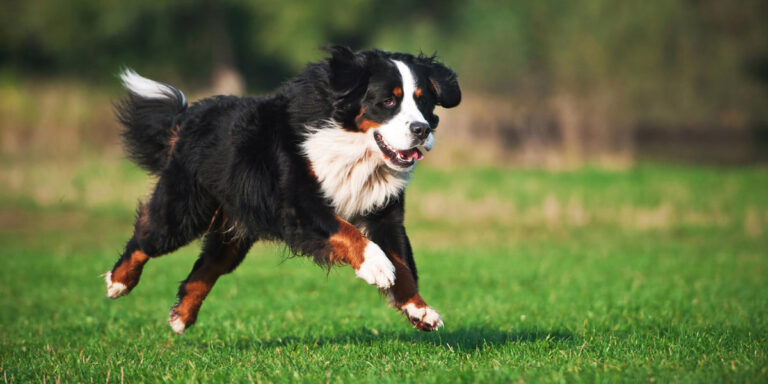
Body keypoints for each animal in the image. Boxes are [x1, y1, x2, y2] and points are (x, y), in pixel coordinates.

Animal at [104, 45, 460, 332]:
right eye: (388, 101)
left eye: (423, 102)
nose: (421, 129)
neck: (355, 150)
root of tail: (188, 117)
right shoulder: (299, 206)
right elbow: (349, 234)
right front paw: (377, 267)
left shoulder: (383, 212)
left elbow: (403, 265)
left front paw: (419, 310)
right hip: (186, 210)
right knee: (147, 237)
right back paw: (118, 282)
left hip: (234, 230)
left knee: (207, 268)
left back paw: (181, 317)